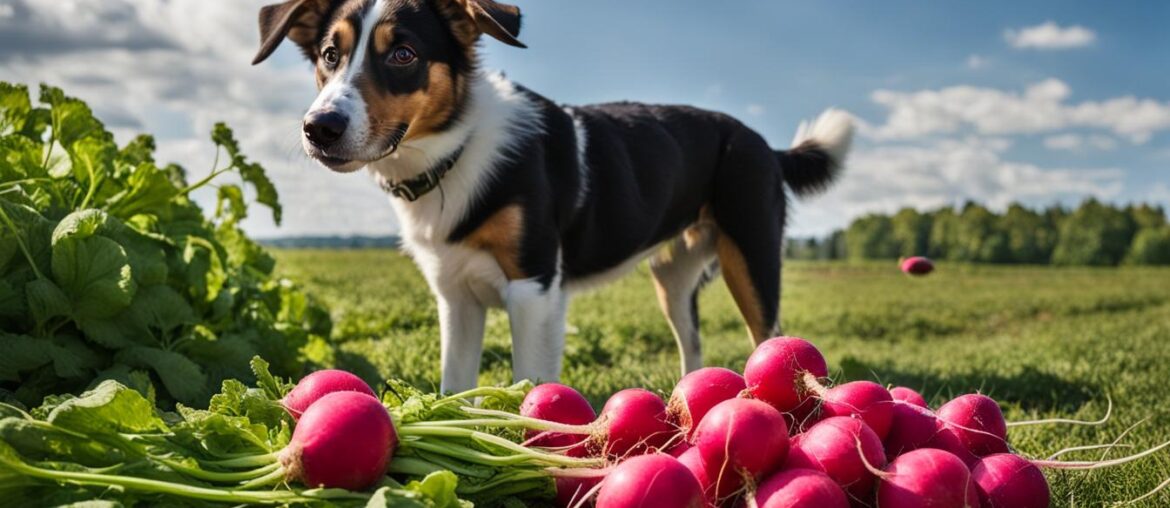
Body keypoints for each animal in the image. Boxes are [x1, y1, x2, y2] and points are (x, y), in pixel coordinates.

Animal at [256, 0, 856, 393]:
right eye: (329, 55)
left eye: (402, 54)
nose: (320, 128)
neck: (455, 152)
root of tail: (763, 143)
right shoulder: (456, 298)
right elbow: (456, 389)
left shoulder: (533, 288)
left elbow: (529, 390)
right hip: (673, 279)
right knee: (694, 347)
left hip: (753, 261)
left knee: (769, 342)